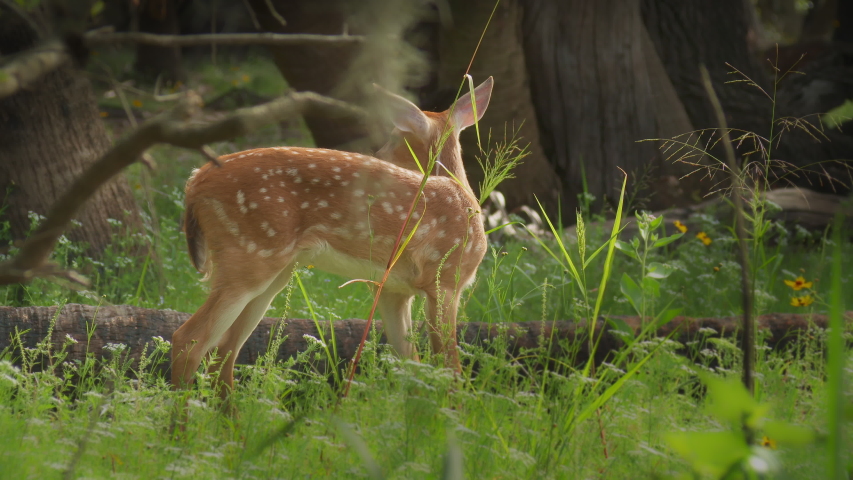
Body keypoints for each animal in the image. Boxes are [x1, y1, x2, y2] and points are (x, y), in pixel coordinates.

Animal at [172, 77, 494, 399]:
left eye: (393, 137)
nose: (378, 157)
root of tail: (194, 181)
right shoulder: (445, 280)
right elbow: (451, 368)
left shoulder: (392, 290)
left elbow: (412, 367)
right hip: (248, 255)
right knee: (188, 341)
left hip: (271, 272)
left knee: (223, 352)